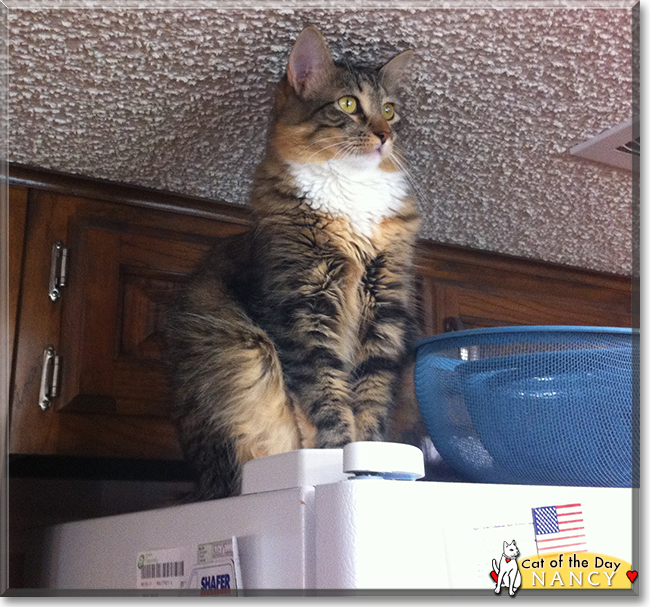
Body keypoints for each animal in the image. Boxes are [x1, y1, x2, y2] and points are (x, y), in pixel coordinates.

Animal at [165, 26, 420, 502]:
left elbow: (372, 394)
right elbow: (323, 394)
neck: (351, 196)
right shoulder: (301, 308)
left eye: (390, 111)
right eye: (348, 104)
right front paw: (339, 453)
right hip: (237, 357)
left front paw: (374, 458)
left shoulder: (385, 309)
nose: (384, 136)